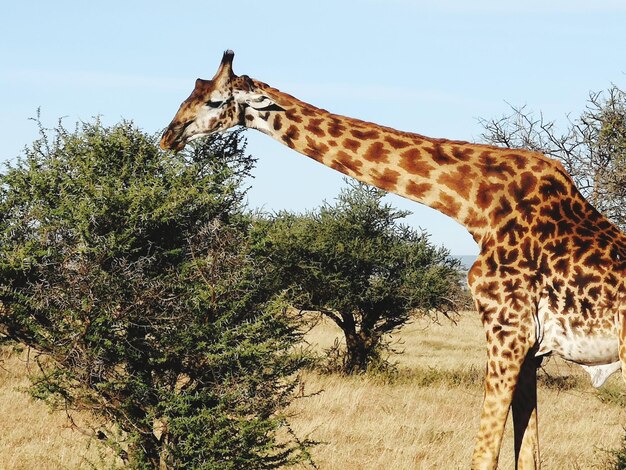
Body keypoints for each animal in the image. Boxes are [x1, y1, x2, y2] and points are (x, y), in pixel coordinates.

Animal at [158, 49, 624, 468]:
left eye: (214, 101)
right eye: (191, 91)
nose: (168, 136)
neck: (476, 206)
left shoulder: (506, 330)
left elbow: (484, 455)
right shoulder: (532, 349)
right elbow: (526, 454)